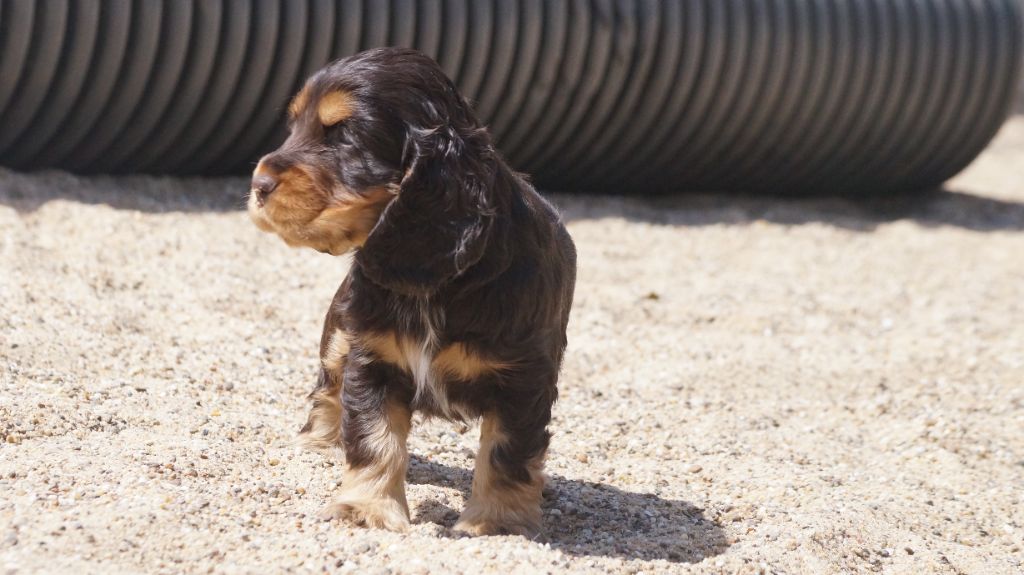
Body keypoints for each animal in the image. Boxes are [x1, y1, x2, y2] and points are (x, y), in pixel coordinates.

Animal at [246, 47, 577, 536]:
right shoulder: (372, 360)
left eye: (345, 135)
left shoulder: (524, 381)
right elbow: (375, 438)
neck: (431, 282)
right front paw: (365, 508)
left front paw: (494, 524)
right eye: (294, 127)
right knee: (329, 387)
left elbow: (507, 452)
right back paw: (320, 440)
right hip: (340, 332)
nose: (258, 185)